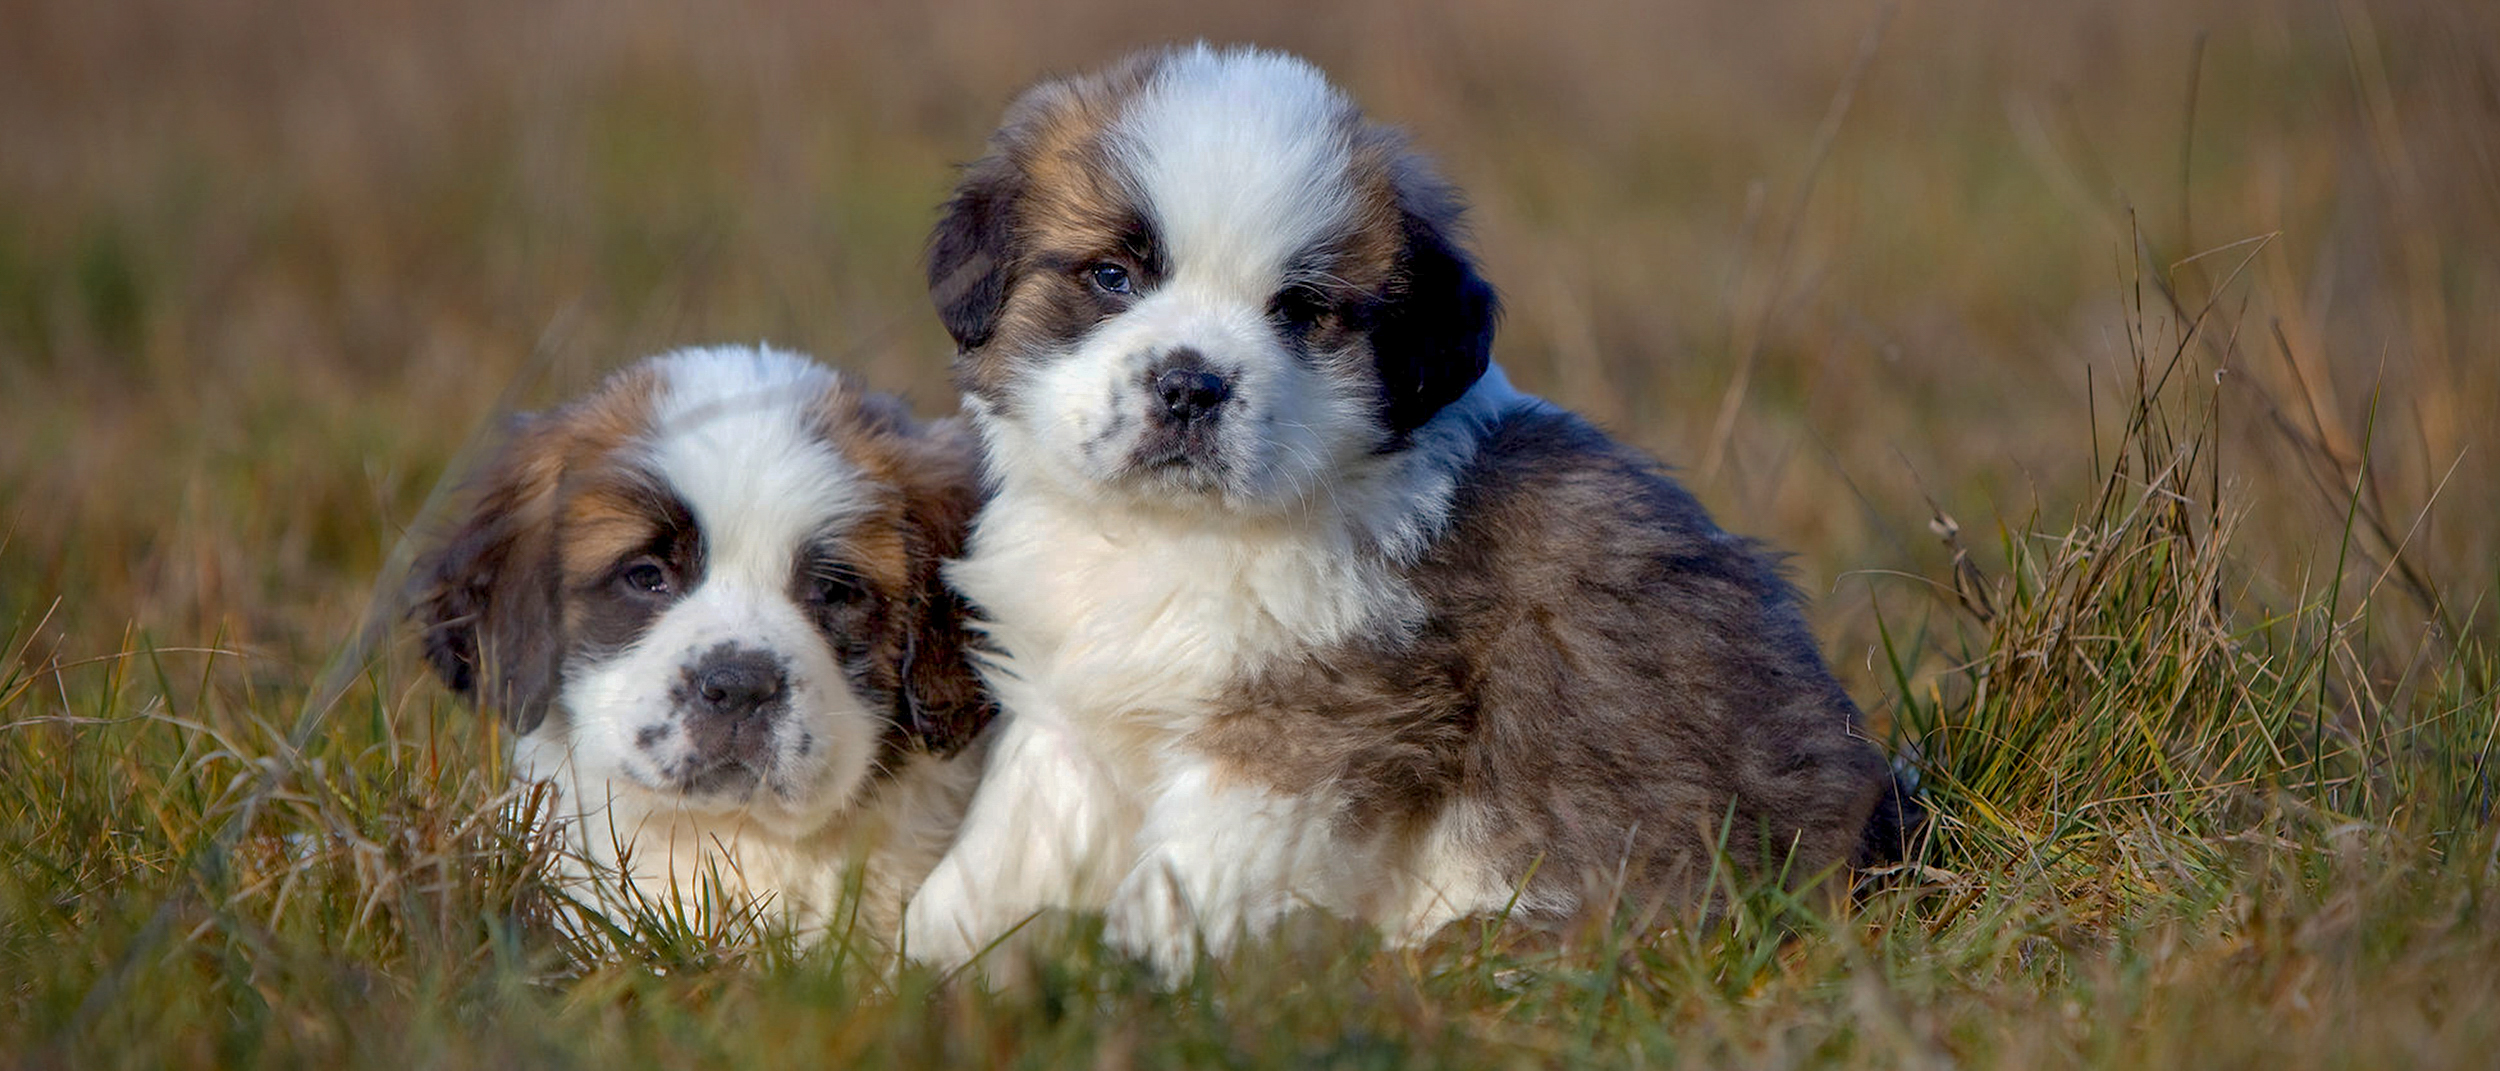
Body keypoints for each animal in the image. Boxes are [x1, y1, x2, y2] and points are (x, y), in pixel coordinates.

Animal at [900, 45, 1890, 975]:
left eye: (1301, 310)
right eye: (1112, 275)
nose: (1191, 385)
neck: (1175, 536)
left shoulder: (1301, 725)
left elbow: (1197, 873)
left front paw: (1148, 978)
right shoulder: (1073, 706)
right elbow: (1010, 844)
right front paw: (928, 966)